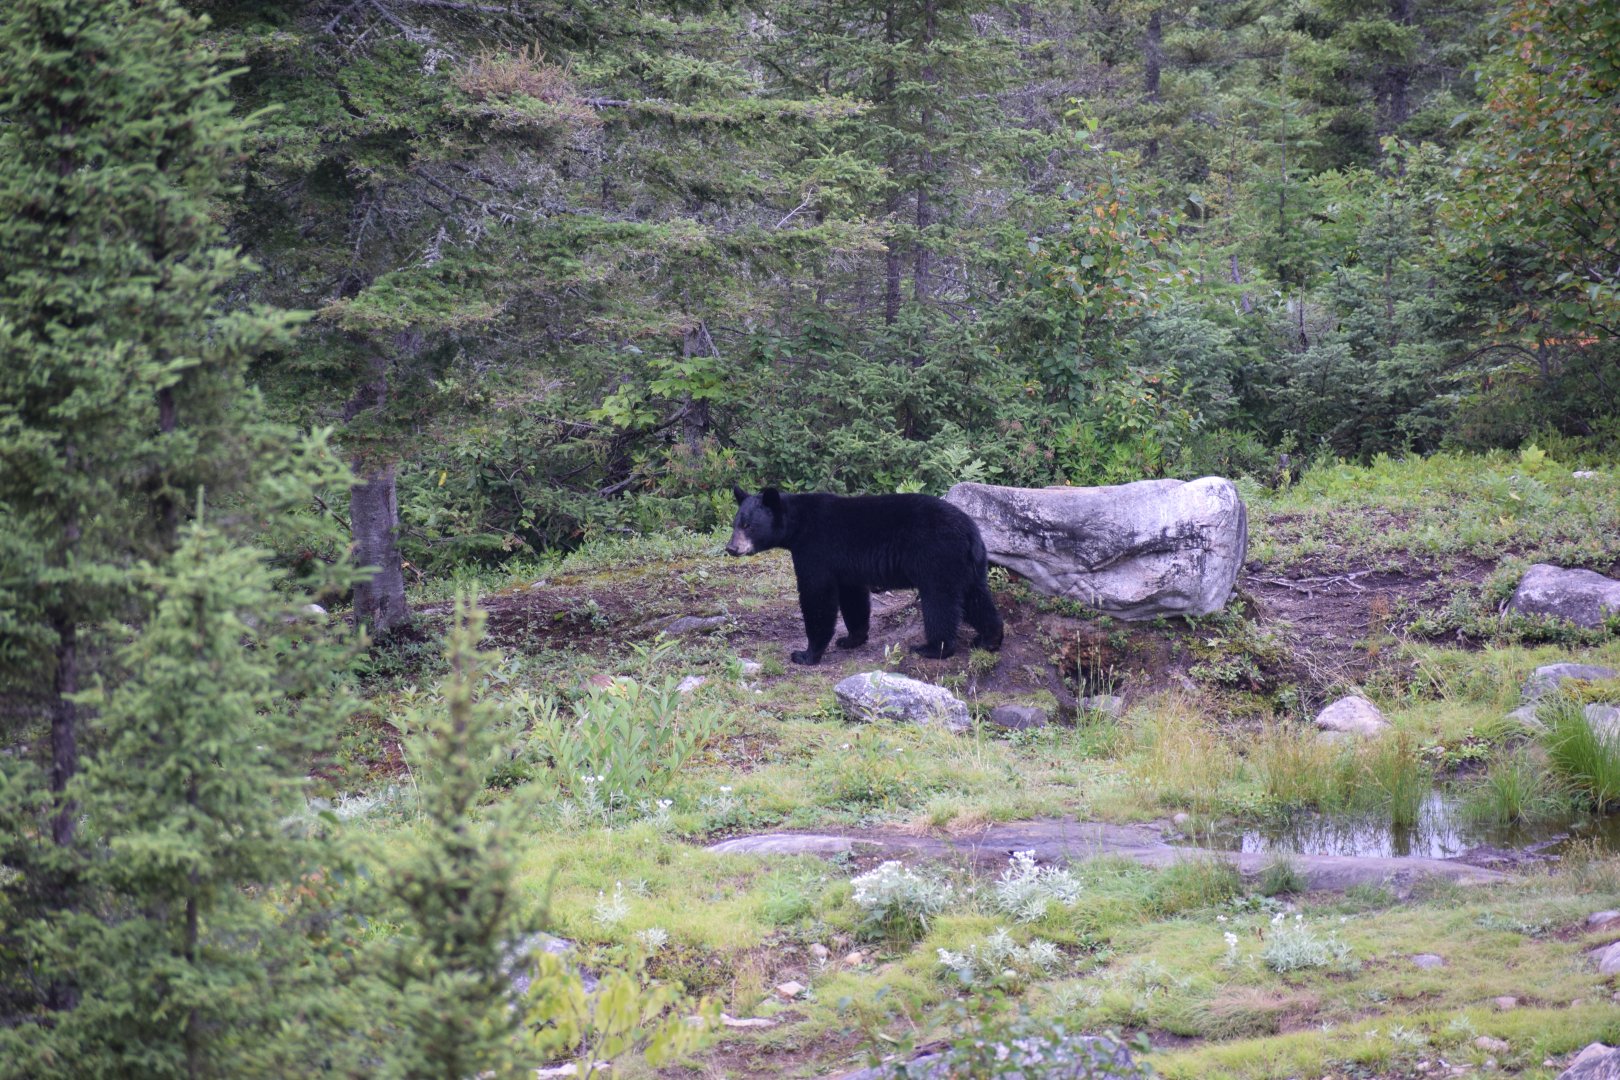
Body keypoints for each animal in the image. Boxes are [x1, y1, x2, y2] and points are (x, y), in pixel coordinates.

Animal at [725, 485, 1004, 665]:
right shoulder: (846, 566)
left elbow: (817, 597)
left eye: (748, 525)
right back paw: (989, 639)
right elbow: (853, 598)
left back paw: (933, 648)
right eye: (735, 523)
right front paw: (851, 639)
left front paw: (805, 654)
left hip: (937, 557)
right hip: (968, 566)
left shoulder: (816, 550)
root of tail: (971, 532)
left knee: (940, 602)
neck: (798, 525)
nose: (731, 548)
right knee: (976, 597)